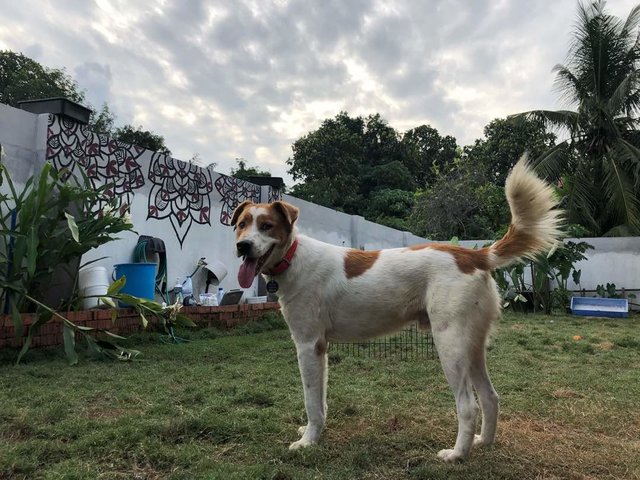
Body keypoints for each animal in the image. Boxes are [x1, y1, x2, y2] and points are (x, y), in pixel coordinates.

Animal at [230, 160, 560, 462]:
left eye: (267, 226)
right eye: (242, 224)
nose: (242, 246)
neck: (293, 256)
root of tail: (473, 254)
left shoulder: (308, 344)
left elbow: (311, 400)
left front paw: (308, 442)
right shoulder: (320, 347)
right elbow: (320, 400)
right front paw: (315, 432)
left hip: (450, 344)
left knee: (468, 405)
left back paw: (456, 455)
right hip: (473, 346)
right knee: (490, 397)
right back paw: (483, 442)